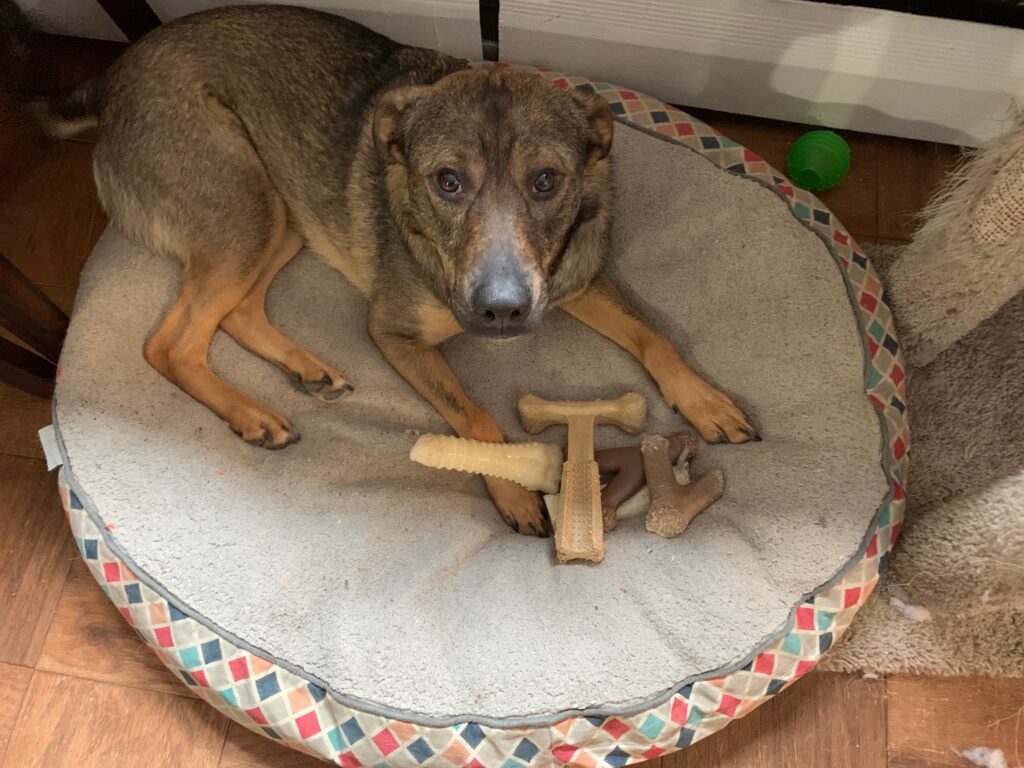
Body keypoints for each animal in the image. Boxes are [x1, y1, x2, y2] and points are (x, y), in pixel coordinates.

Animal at [36, 4, 757, 536]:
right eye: (448, 181)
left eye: (547, 181)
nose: (502, 311)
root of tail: (112, 75)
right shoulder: (395, 334)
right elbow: (475, 415)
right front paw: (512, 492)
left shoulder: (572, 279)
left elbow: (654, 336)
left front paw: (707, 401)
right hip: (246, 204)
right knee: (170, 342)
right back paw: (253, 415)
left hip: (285, 213)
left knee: (233, 312)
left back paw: (307, 369)